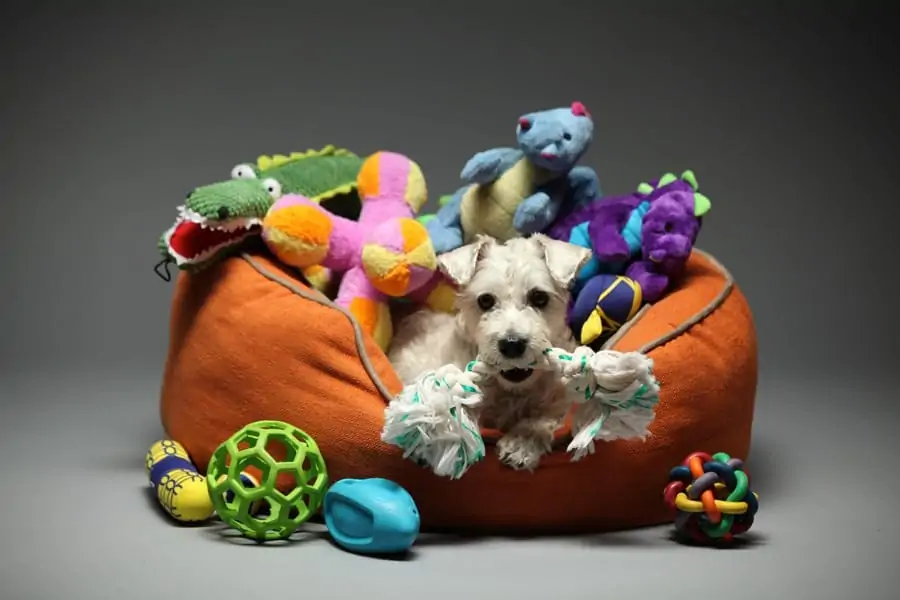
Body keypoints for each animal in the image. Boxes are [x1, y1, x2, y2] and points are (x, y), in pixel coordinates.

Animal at [384, 232, 592, 472]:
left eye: (539, 297)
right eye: (485, 300)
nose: (512, 343)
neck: (512, 391)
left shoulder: (556, 399)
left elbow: (542, 417)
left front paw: (522, 443)